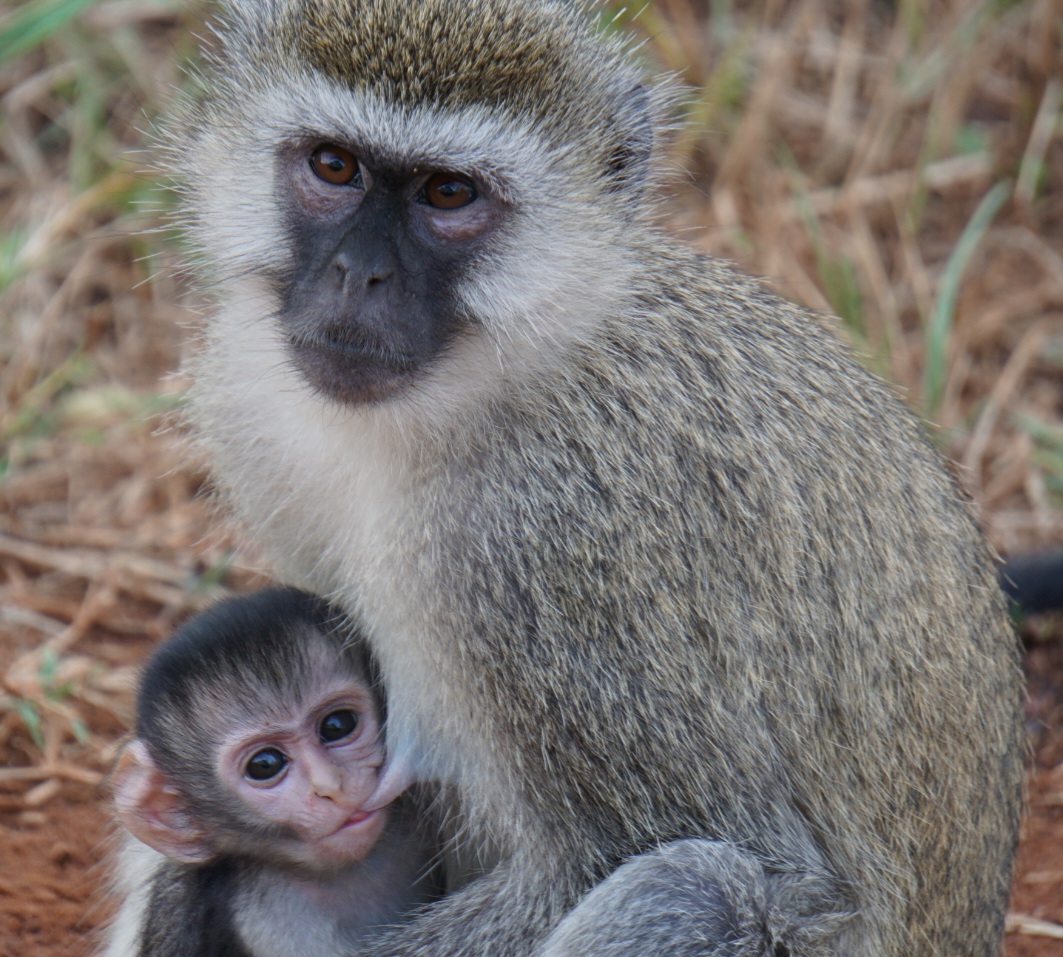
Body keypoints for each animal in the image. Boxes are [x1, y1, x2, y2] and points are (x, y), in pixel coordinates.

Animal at [141, 1, 1020, 957]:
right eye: (333, 166)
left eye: (448, 194)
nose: (354, 275)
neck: (482, 385)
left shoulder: (547, 546)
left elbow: (721, 856)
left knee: (696, 888)